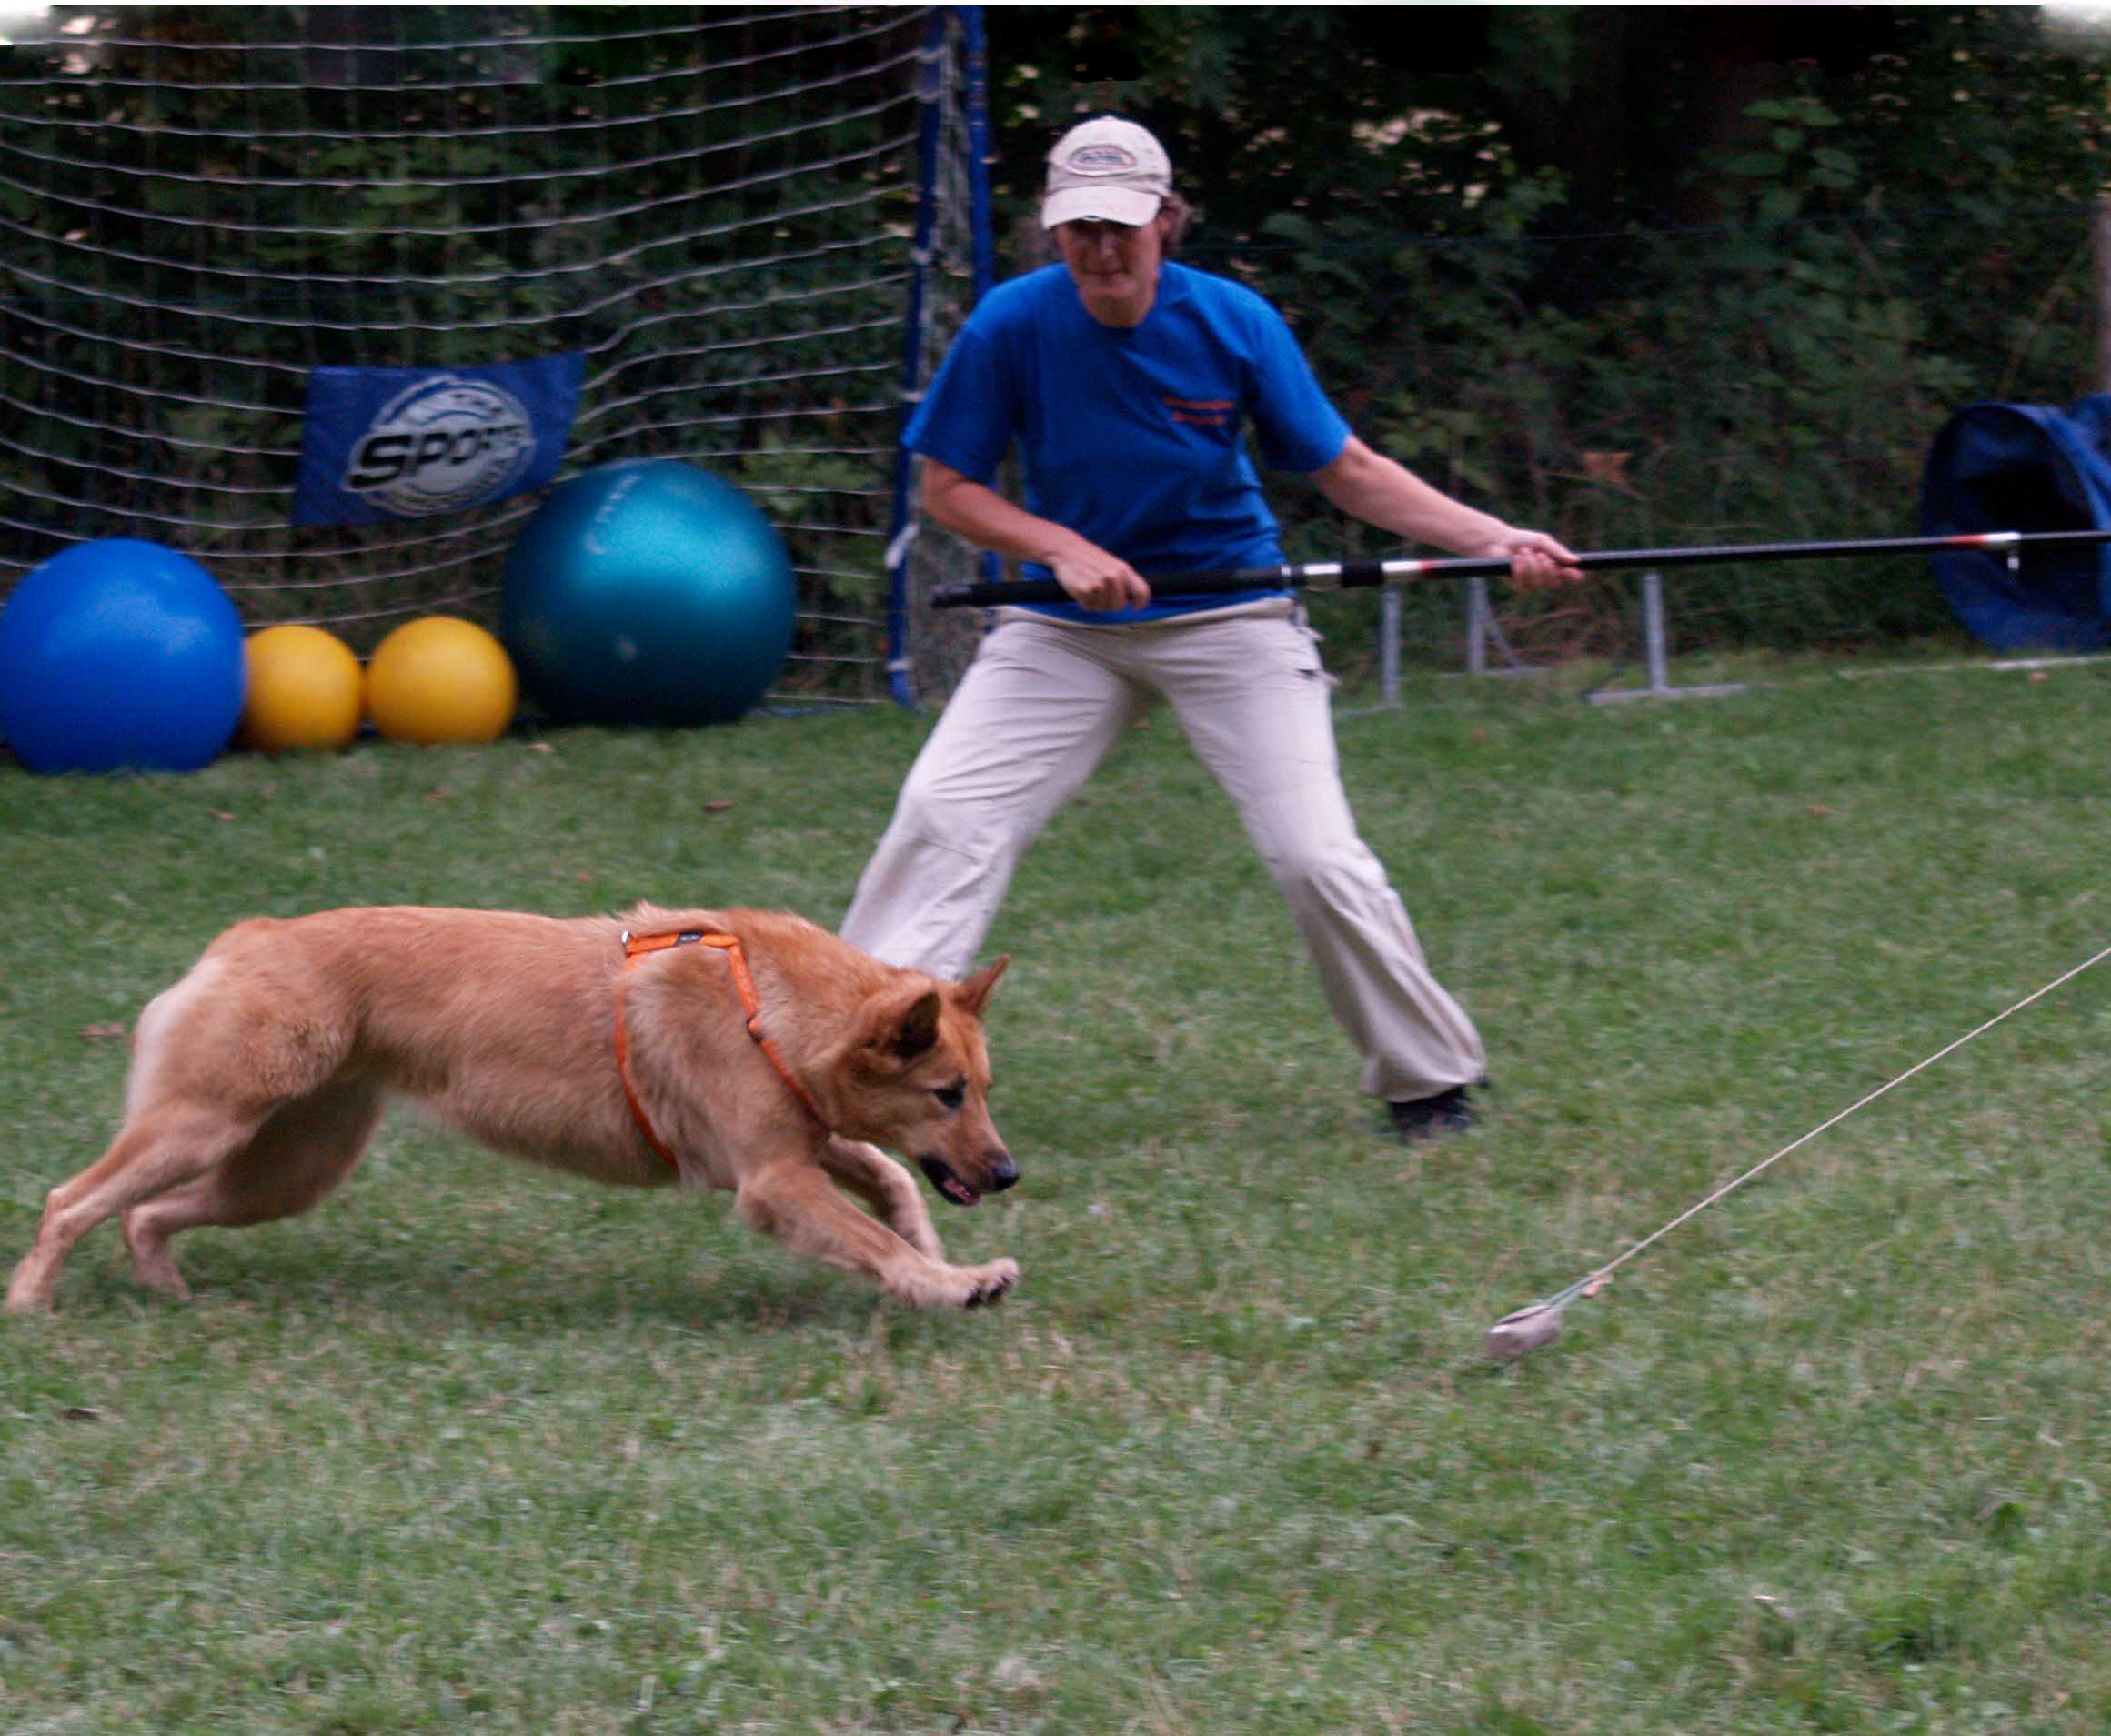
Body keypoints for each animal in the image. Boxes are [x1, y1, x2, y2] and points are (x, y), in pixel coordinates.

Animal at [4, 912, 1017, 1318]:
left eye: (983, 1087)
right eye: (946, 1092)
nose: (1008, 1173)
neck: (767, 1007)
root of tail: (247, 938)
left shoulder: (801, 1146)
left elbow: (890, 1185)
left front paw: (943, 1262)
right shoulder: (771, 1181)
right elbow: (874, 1235)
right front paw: (949, 1282)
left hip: (287, 1169)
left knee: (142, 1214)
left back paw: (166, 1292)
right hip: (204, 1125)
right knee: (69, 1201)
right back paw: (29, 1306)